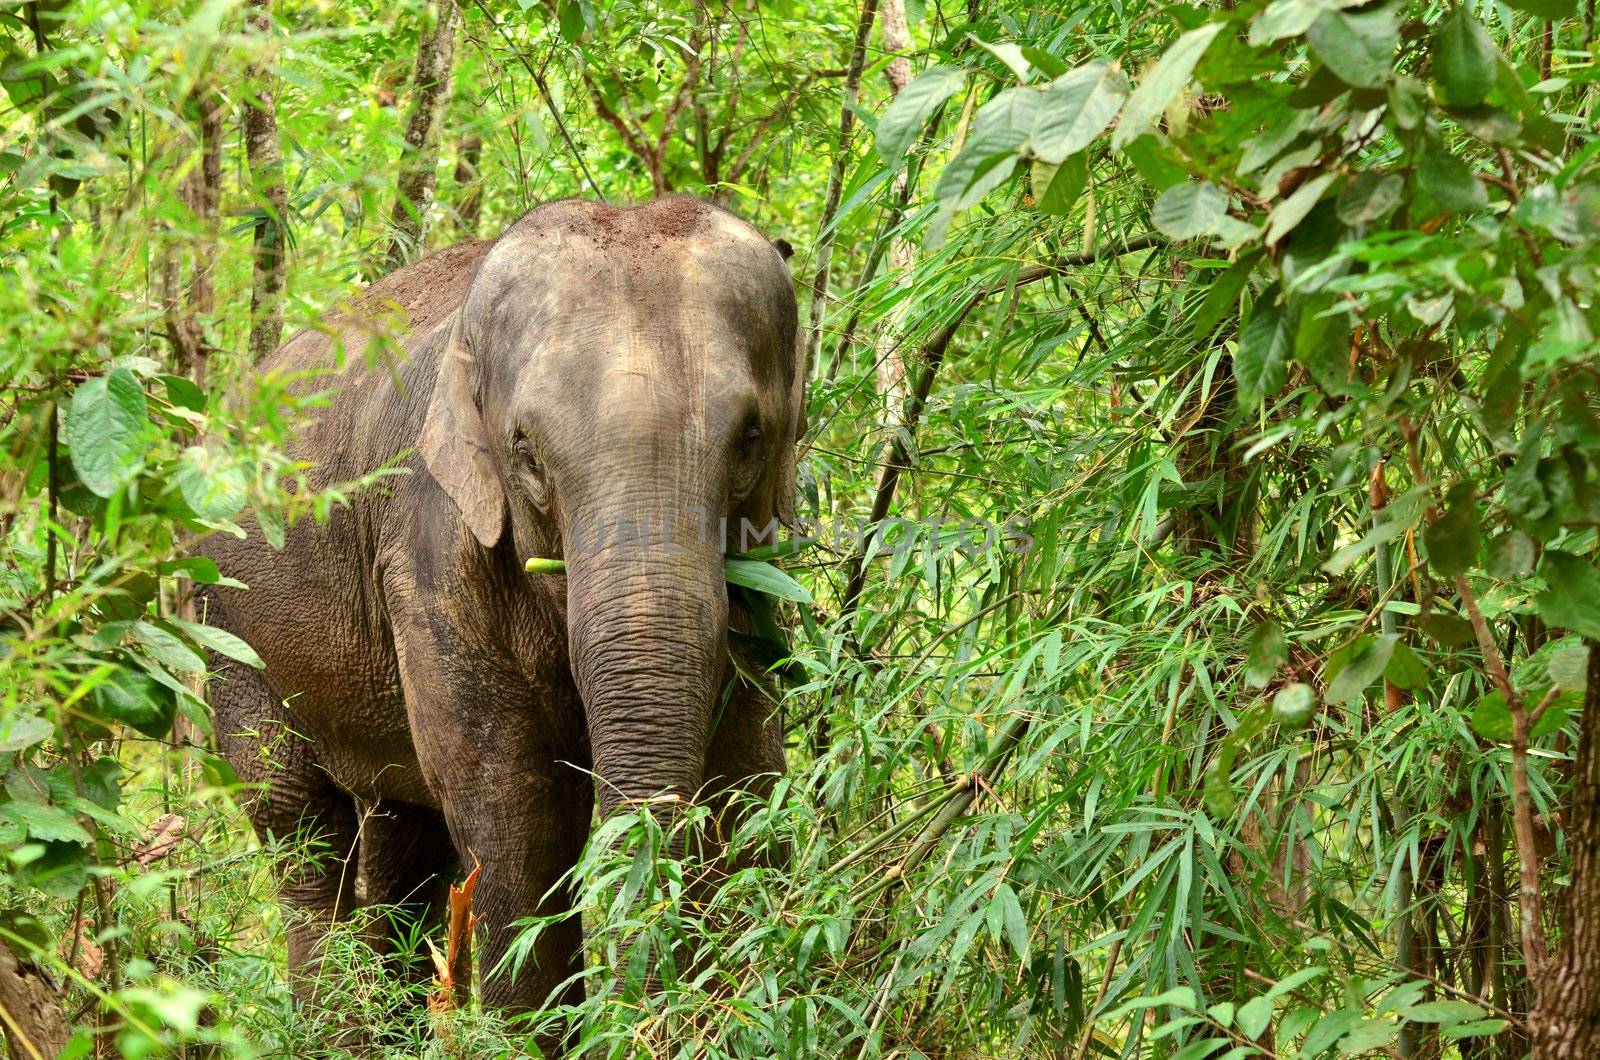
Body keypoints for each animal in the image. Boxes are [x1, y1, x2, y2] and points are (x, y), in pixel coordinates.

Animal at [200, 196, 800, 1031]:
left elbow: (746, 775)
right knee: (300, 827)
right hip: (229, 626)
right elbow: (516, 806)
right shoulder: (429, 554)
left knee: (404, 840)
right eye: (527, 452)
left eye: (749, 438)